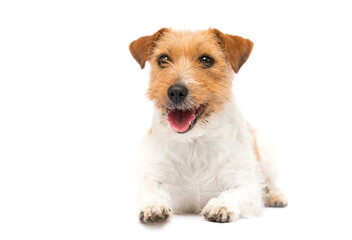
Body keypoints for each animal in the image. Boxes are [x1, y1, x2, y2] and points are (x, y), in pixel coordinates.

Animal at [129, 29, 286, 224]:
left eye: (206, 60)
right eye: (163, 59)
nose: (176, 91)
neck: (194, 142)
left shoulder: (246, 185)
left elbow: (237, 193)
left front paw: (220, 206)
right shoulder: (154, 177)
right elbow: (151, 190)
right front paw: (153, 206)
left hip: (267, 155)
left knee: (269, 182)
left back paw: (275, 196)